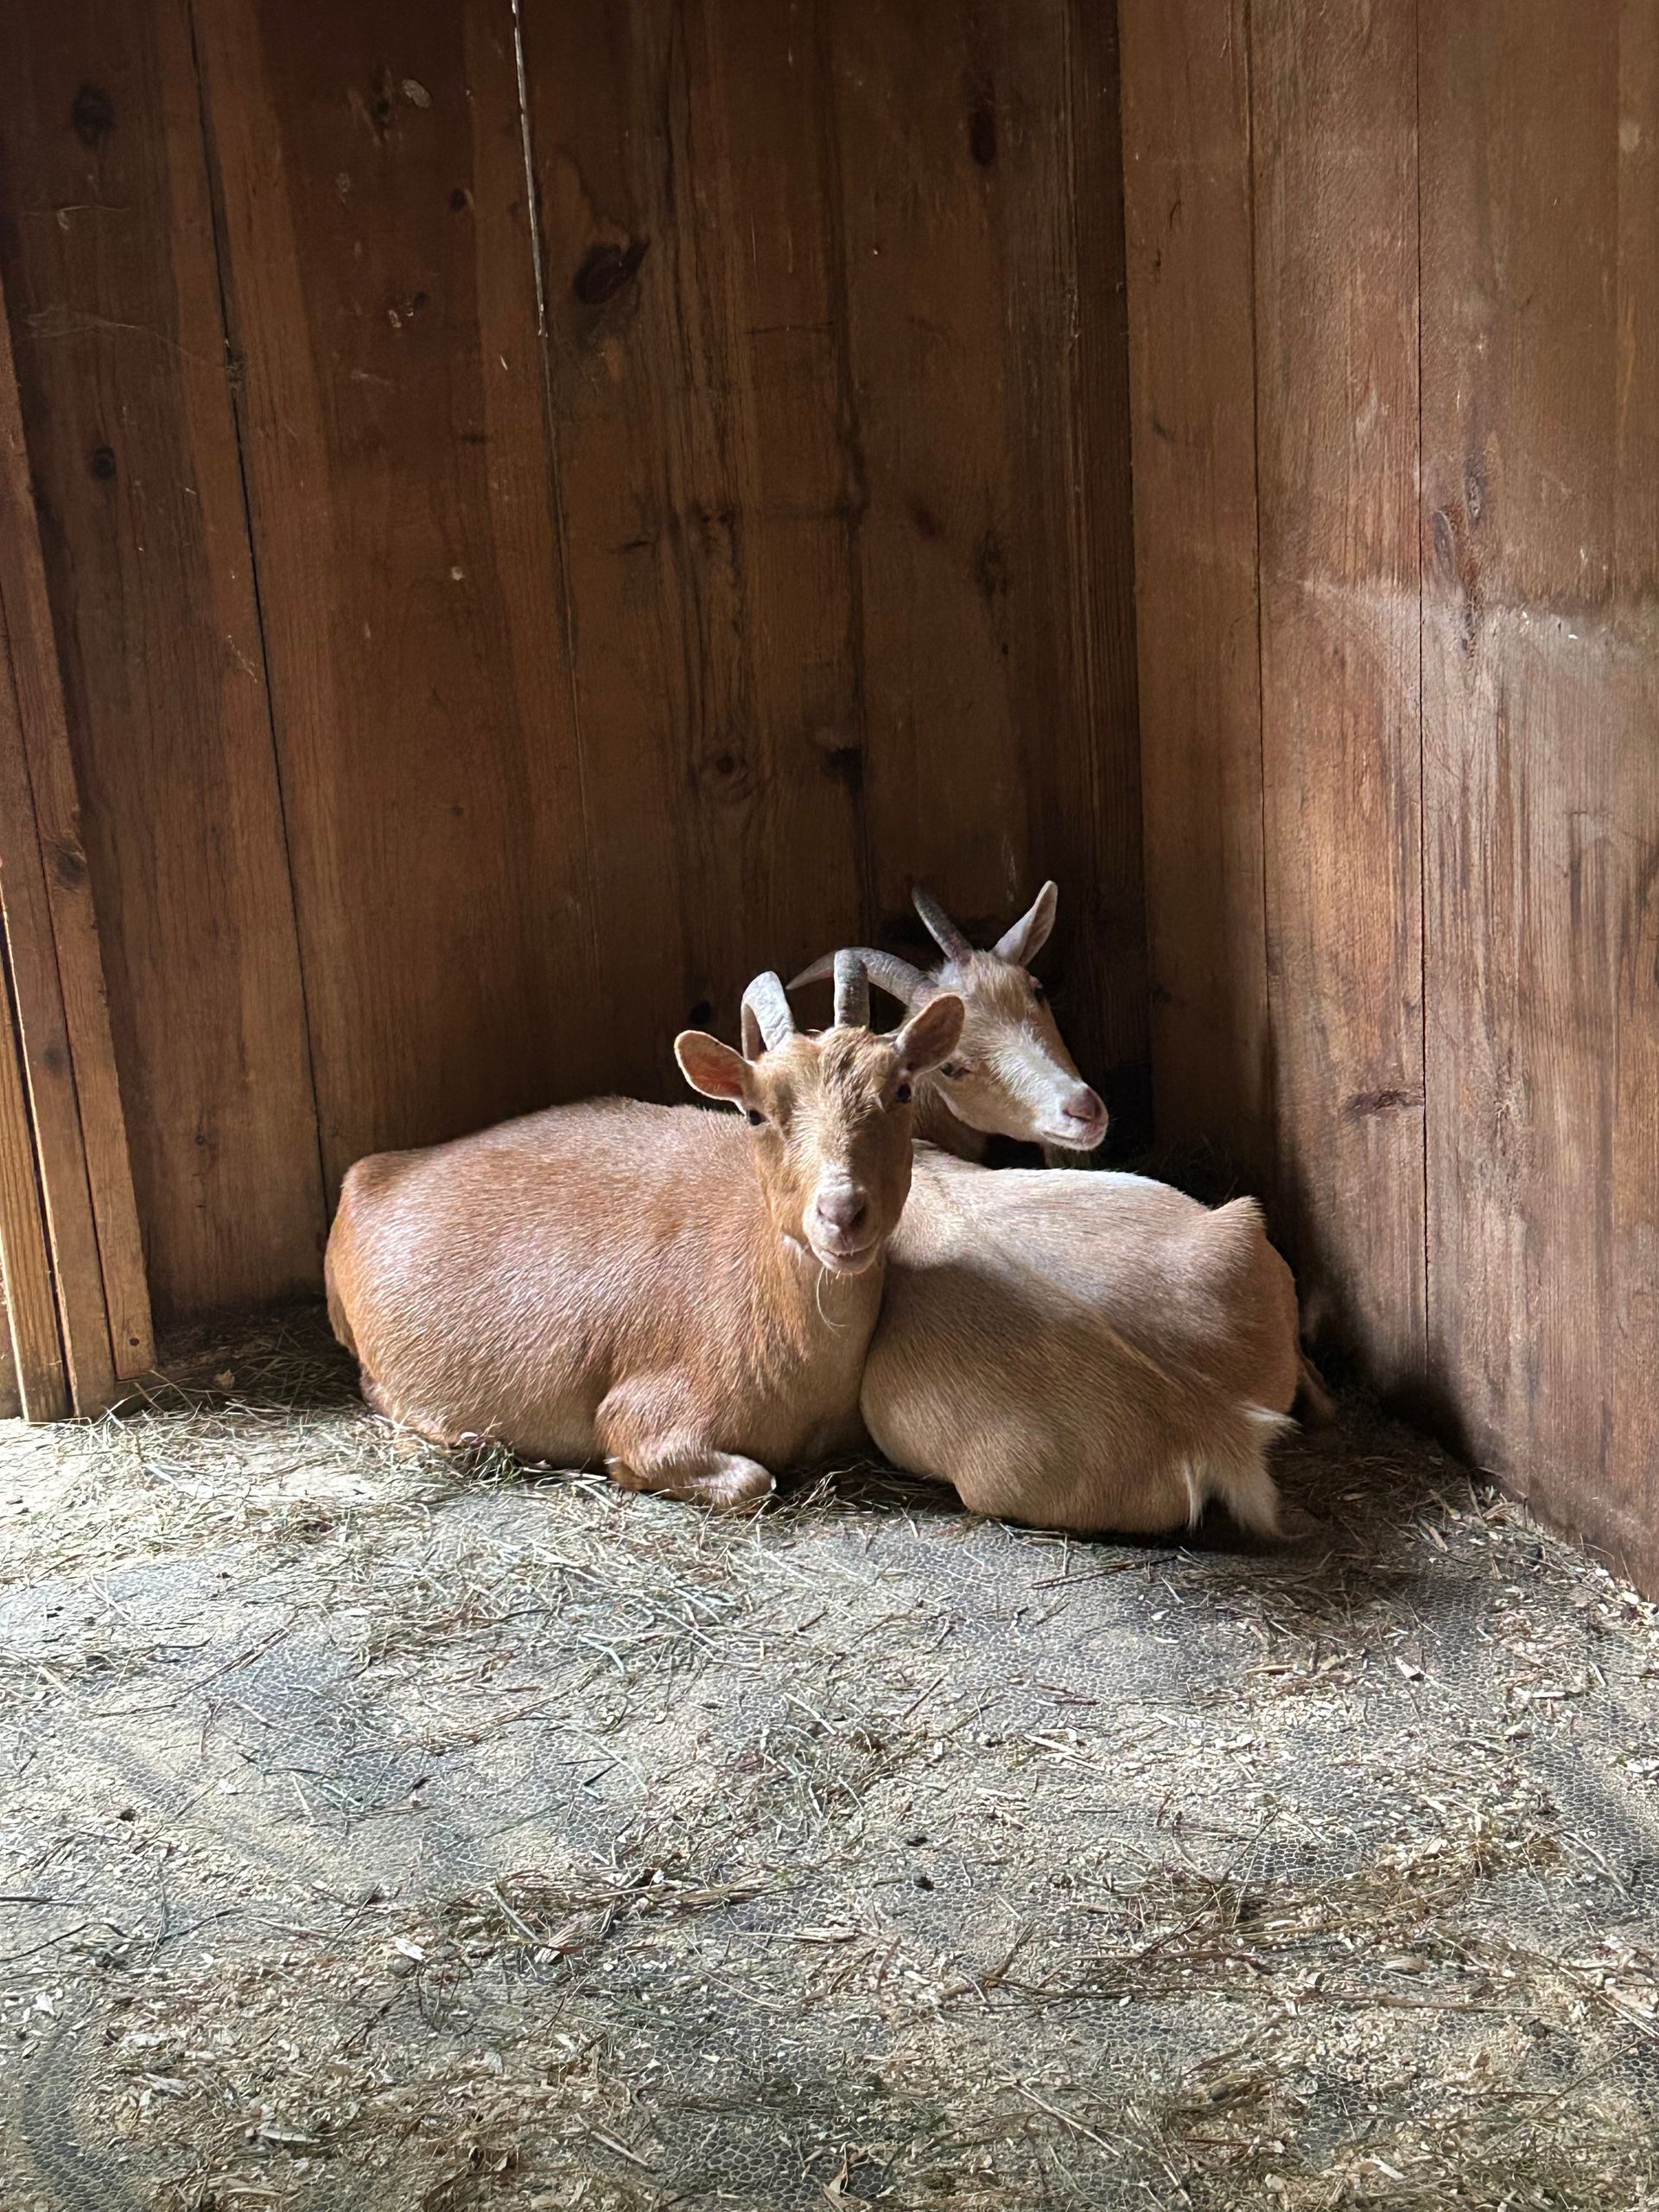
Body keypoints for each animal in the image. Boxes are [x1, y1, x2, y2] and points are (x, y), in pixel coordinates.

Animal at [325, 958, 964, 1511]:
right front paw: (621, 1472)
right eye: (755, 1112)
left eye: (901, 1089)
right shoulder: (648, 1413)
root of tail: (375, 1172)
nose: (842, 1211)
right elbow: (747, 1480)